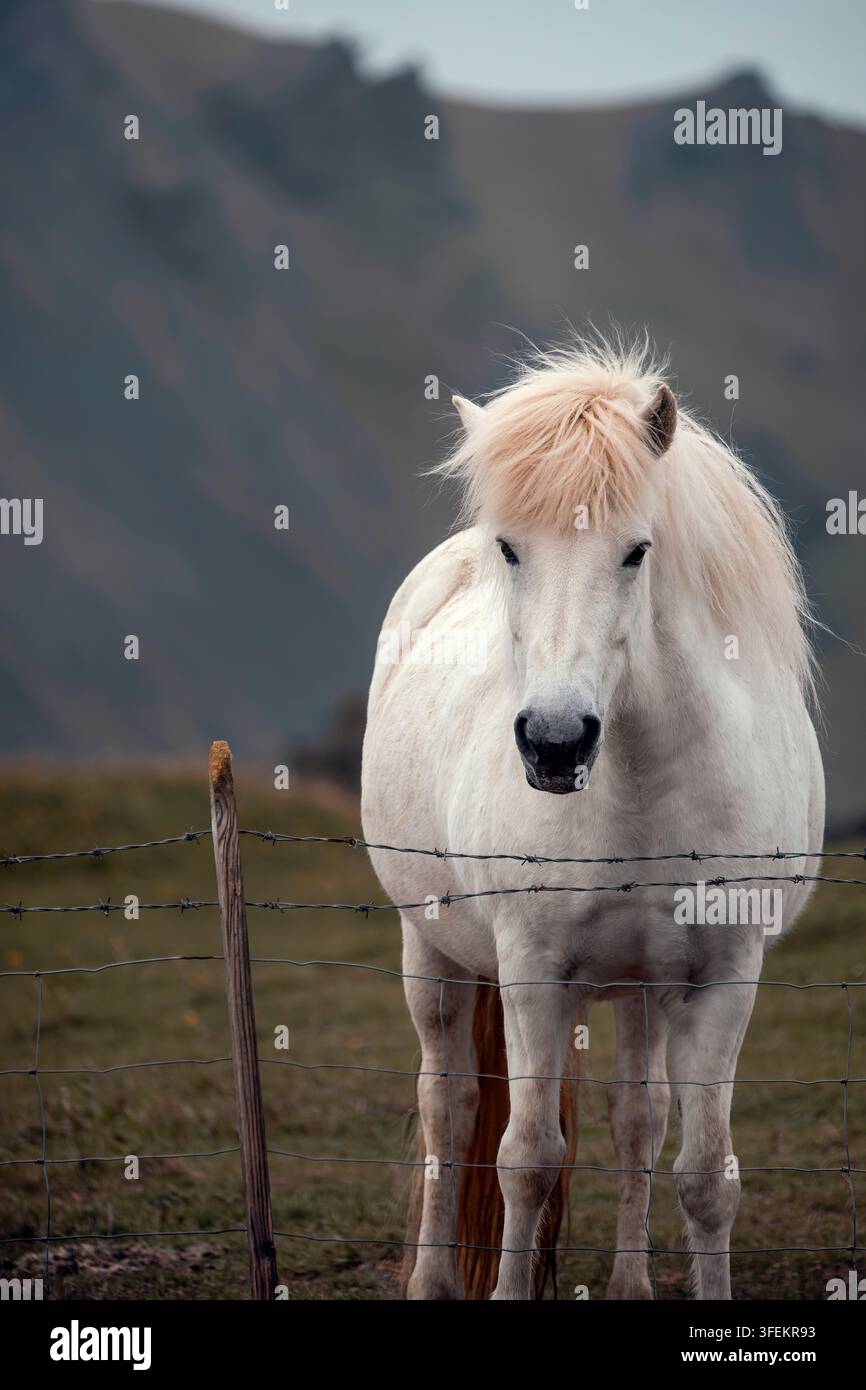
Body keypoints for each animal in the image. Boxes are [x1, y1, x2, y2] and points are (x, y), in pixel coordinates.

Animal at [360, 337, 824, 1300]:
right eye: (511, 549)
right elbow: (527, 1159)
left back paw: (630, 1284)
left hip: (640, 993)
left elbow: (704, 1176)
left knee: (636, 1117)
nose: (555, 742)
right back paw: (431, 1281)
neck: (641, 784)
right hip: (430, 948)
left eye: (636, 552)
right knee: (449, 1108)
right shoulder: (534, 974)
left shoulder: (725, 978)